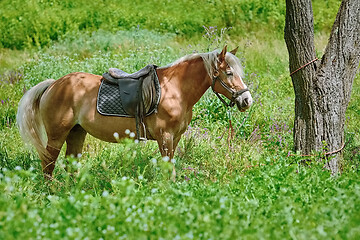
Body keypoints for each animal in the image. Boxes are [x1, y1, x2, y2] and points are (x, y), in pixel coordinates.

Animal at [17, 46, 253, 179]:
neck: (175, 89)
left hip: (76, 133)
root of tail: (53, 84)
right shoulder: (165, 137)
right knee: (48, 166)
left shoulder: (175, 138)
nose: (246, 100)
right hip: (57, 135)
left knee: (69, 165)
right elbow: (168, 169)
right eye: (229, 72)